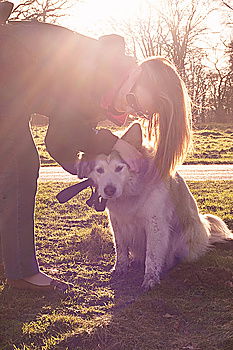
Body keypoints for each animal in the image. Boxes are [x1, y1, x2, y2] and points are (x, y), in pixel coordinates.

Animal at [76, 123, 231, 290]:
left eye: (119, 168)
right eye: (99, 170)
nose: (109, 190)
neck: (131, 193)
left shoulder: (155, 224)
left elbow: (152, 256)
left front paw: (150, 280)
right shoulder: (117, 222)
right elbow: (121, 249)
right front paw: (120, 269)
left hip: (186, 237)